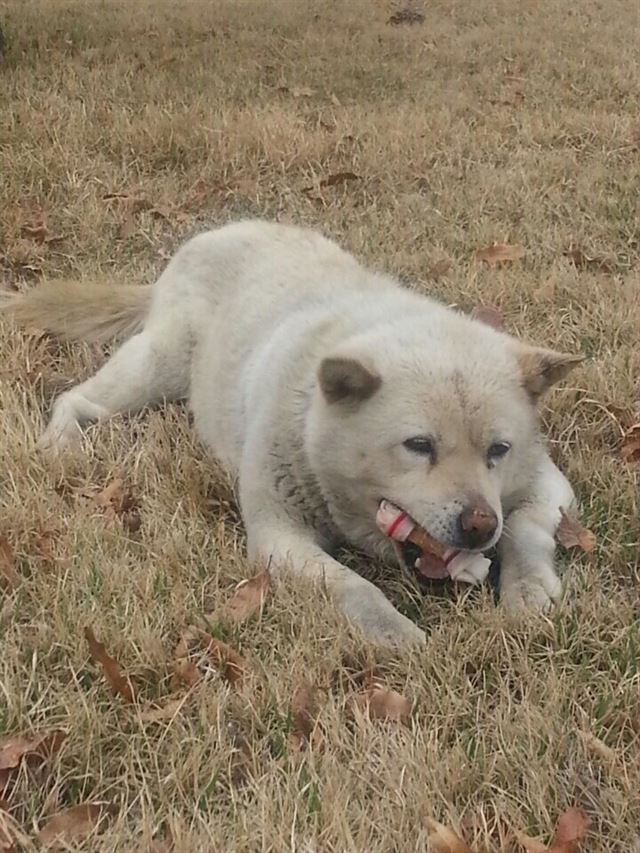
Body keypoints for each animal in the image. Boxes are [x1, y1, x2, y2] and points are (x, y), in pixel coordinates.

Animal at [5, 223, 584, 644]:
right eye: (419, 446)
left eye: (499, 450)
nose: (479, 526)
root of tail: (205, 237)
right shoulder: (278, 538)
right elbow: (354, 588)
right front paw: (397, 635)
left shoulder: (548, 485)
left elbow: (527, 529)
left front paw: (529, 589)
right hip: (157, 368)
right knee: (76, 398)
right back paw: (61, 445)